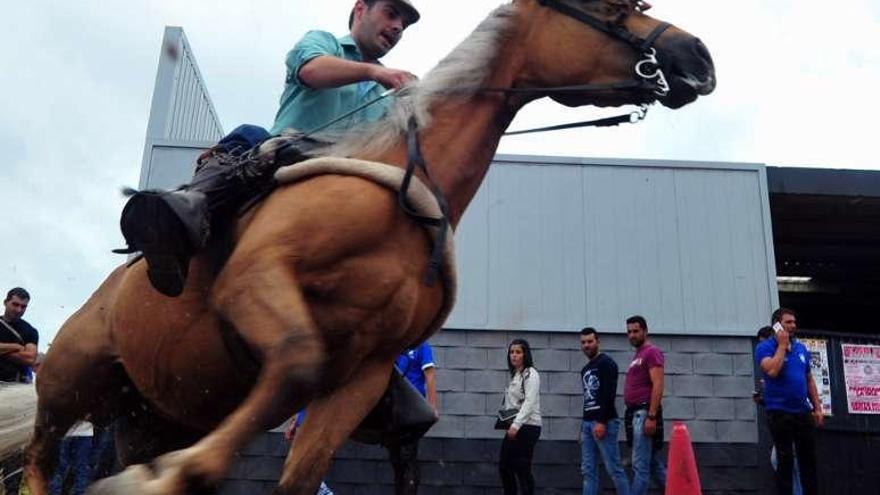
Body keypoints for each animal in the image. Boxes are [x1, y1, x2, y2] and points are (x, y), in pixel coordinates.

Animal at [25, 1, 716, 494]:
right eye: (611, 4)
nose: (698, 55)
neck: (399, 195)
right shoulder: (255, 283)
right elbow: (296, 358)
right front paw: (174, 477)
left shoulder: (364, 370)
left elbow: (301, 469)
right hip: (70, 382)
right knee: (37, 457)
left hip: (150, 415)